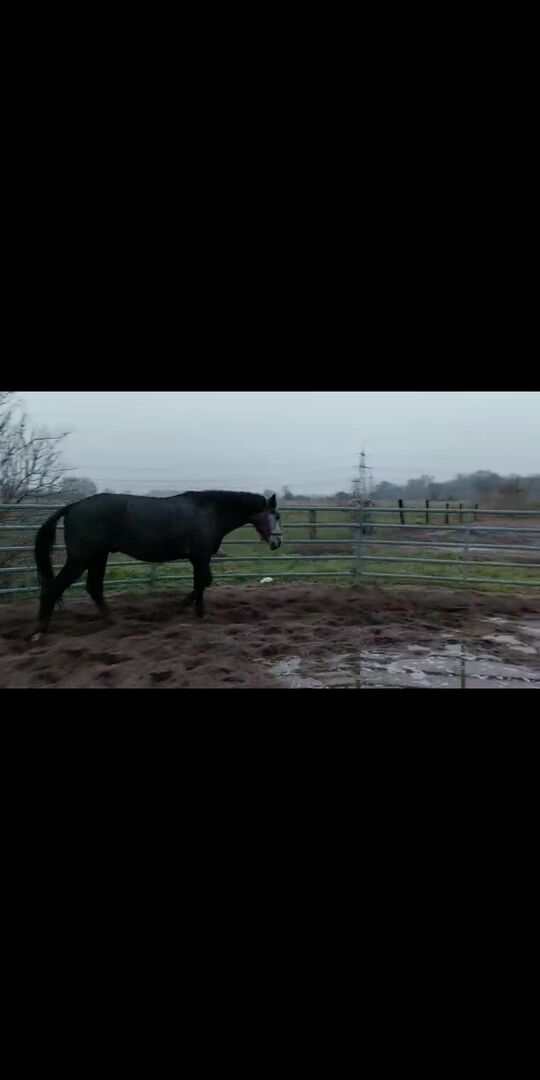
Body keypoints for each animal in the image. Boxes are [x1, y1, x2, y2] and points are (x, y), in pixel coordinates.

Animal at [30, 490, 282, 640]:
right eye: (276, 516)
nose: (277, 542)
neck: (208, 511)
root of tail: (73, 506)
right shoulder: (201, 557)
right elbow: (204, 581)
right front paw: (191, 611)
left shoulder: (196, 559)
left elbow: (200, 583)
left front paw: (186, 610)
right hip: (81, 558)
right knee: (53, 588)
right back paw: (39, 632)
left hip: (98, 556)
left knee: (94, 588)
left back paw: (115, 622)